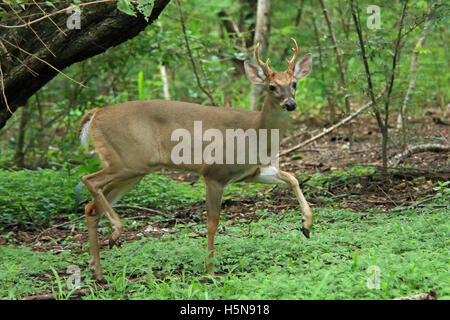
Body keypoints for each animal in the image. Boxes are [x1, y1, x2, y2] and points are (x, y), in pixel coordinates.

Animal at [78, 38, 312, 282]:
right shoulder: (214, 173)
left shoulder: (251, 173)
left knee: (92, 207)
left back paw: (97, 271)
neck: (255, 133)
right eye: (271, 86)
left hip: (132, 171)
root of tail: (95, 114)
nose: (290, 104)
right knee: (89, 180)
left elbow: (292, 178)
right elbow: (212, 223)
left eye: (294, 83)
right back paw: (115, 234)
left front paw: (306, 225)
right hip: (127, 161)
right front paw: (210, 270)